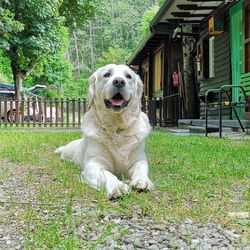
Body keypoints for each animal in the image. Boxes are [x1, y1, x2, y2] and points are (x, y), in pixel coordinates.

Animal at [55, 64, 153, 199]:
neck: (116, 128)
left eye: (128, 76)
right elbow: (106, 174)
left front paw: (141, 181)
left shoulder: (139, 160)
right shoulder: (94, 164)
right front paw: (117, 186)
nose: (119, 81)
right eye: (107, 74)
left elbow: (141, 168)